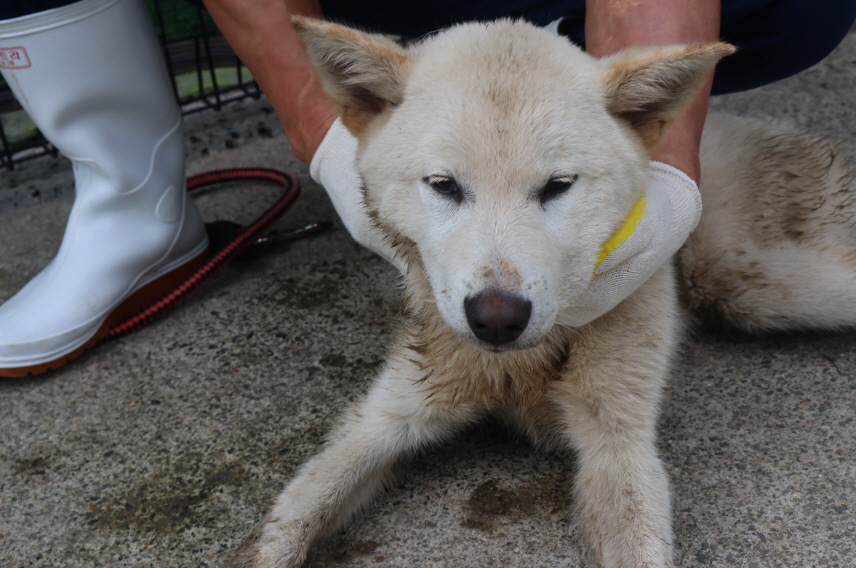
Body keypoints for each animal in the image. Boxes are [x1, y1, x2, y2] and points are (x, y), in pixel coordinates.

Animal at [224, 17, 856, 568]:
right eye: (444, 185)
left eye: (558, 186)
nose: (496, 318)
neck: (517, 370)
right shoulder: (387, 419)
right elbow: (293, 518)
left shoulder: (617, 443)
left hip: (749, 282)